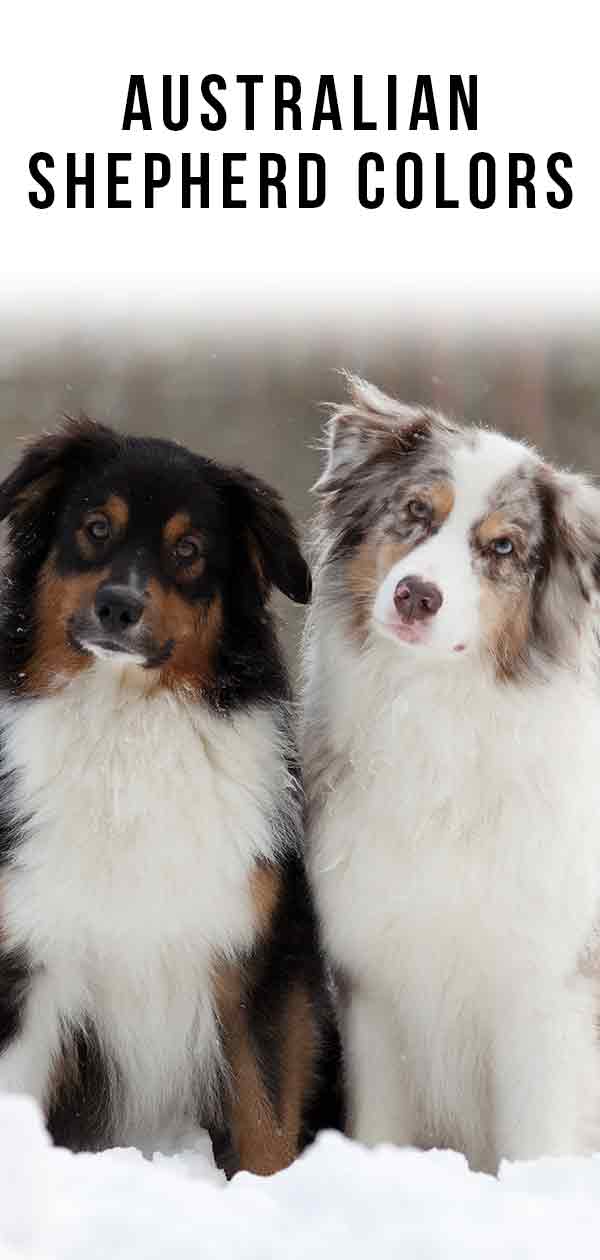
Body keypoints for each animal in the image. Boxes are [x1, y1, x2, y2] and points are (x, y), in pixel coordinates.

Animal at [0, 418, 337, 1174]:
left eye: (189, 551)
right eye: (96, 527)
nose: (118, 606)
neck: (127, 727)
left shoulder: (259, 961)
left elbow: (267, 1122)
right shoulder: (30, 957)